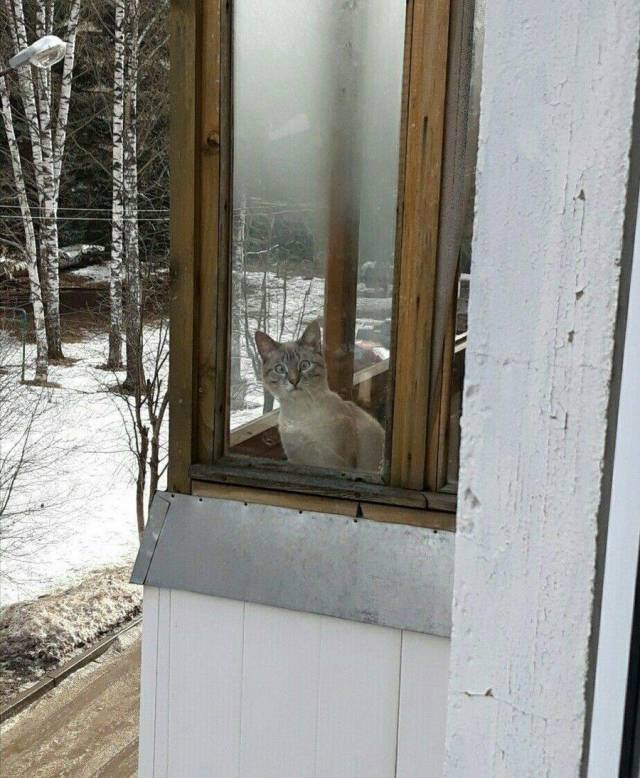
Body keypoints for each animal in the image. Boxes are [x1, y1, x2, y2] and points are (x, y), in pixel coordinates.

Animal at [254, 320, 384, 472]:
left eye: (305, 365)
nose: (294, 381)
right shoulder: (297, 461)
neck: (301, 411)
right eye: (280, 369)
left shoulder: (335, 463)